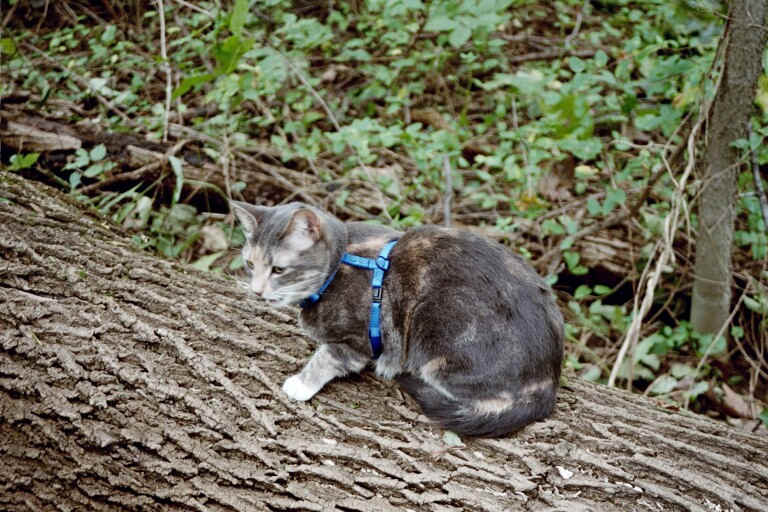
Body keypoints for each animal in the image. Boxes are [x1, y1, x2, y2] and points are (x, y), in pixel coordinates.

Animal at [230, 200, 564, 436]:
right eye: (250, 264)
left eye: (279, 270)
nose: (257, 290)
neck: (338, 264)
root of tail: (548, 381)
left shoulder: (358, 339)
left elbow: (328, 357)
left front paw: (301, 383)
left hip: (437, 323)